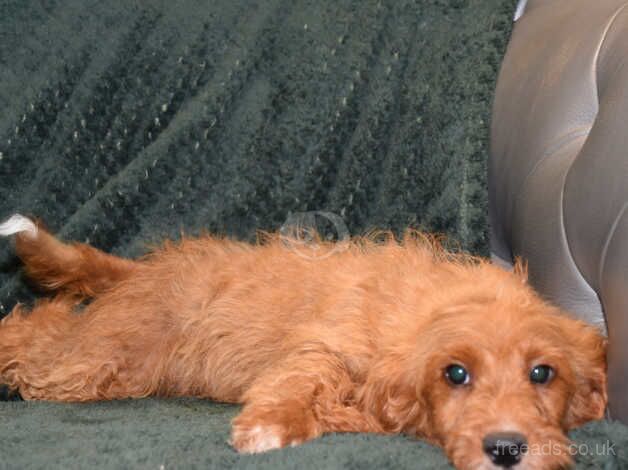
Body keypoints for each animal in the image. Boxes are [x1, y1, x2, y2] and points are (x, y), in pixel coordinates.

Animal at [0, 215, 608, 468]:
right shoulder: (327, 346)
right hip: (92, 361)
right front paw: (272, 423)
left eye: (542, 373)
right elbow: (304, 378)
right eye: (456, 374)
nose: (506, 449)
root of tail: (141, 270)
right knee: (33, 329)